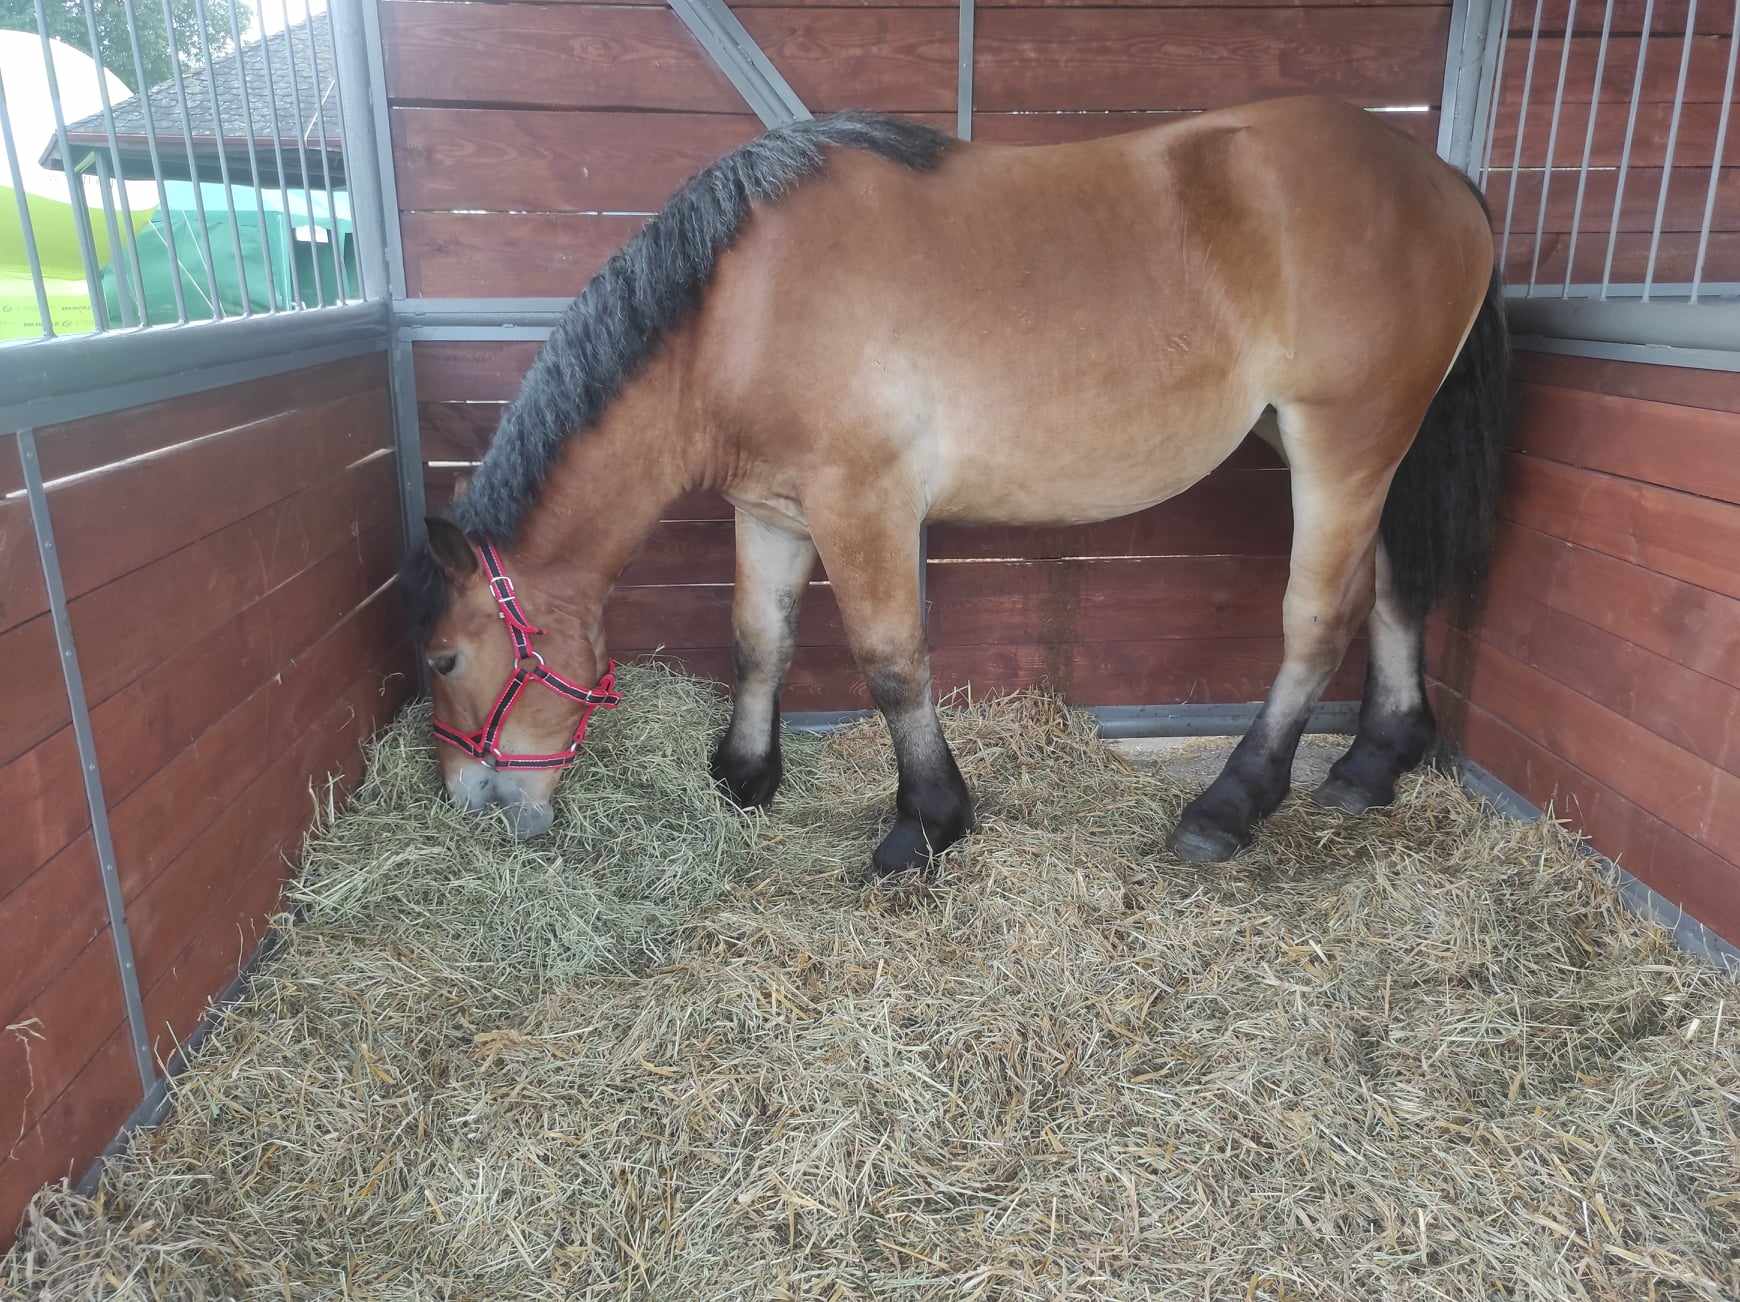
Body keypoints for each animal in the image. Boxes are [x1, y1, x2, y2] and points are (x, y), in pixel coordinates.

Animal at [402, 96, 1508, 874]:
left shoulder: (863, 506)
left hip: (1344, 442)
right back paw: (1374, 762)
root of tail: (1441, 177)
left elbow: (893, 663)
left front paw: (925, 824)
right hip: (1368, 447)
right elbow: (759, 642)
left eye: (445, 660)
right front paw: (745, 776)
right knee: (1397, 586)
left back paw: (1230, 805)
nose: (472, 802)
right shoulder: (772, 511)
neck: (742, 309)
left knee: (1318, 621)